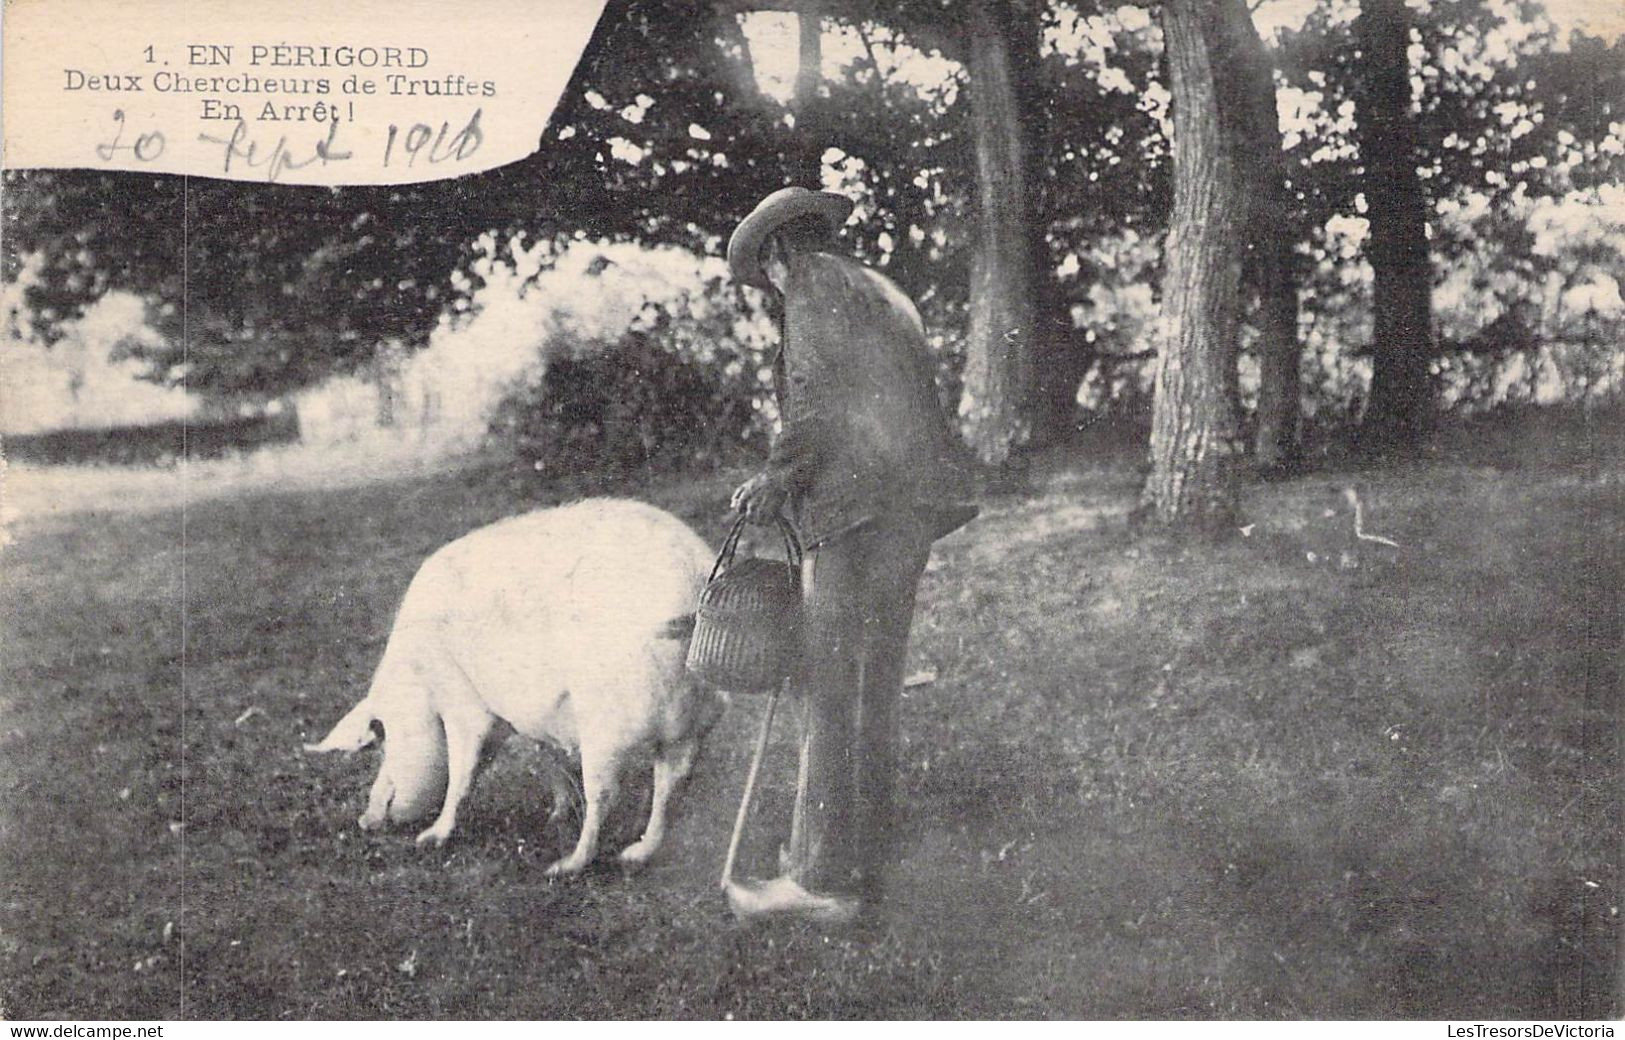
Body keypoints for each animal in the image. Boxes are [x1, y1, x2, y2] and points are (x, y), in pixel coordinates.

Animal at [305, 500, 724, 871]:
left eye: (381, 736)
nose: (365, 820)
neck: (419, 682)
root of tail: (693, 584)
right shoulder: (527, 714)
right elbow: (546, 757)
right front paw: (556, 813)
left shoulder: (462, 697)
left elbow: (461, 770)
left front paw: (431, 837)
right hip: (696, 720)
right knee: (671, 785)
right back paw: (634, 855)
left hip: (606, 721)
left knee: (607, 793)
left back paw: (565, 866)